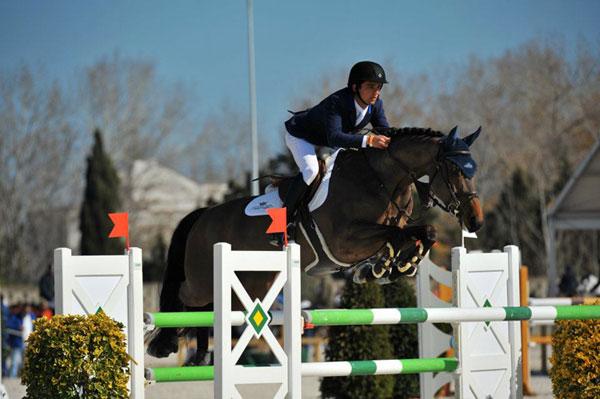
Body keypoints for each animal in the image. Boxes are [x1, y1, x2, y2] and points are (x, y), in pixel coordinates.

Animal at [148, 126, 486, 364]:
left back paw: (200, 355)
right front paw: (388, 266)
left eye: (473, 170)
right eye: (456, 171)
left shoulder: (387, 230)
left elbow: (423, 232)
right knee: (186, 296)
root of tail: (204, 215)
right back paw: (168, 344)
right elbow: (400, 235)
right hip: (204, 278)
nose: (476, 222)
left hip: (251, 282)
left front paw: (391, 266)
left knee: (210, 308)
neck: (381, 179)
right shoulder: (344, 242)